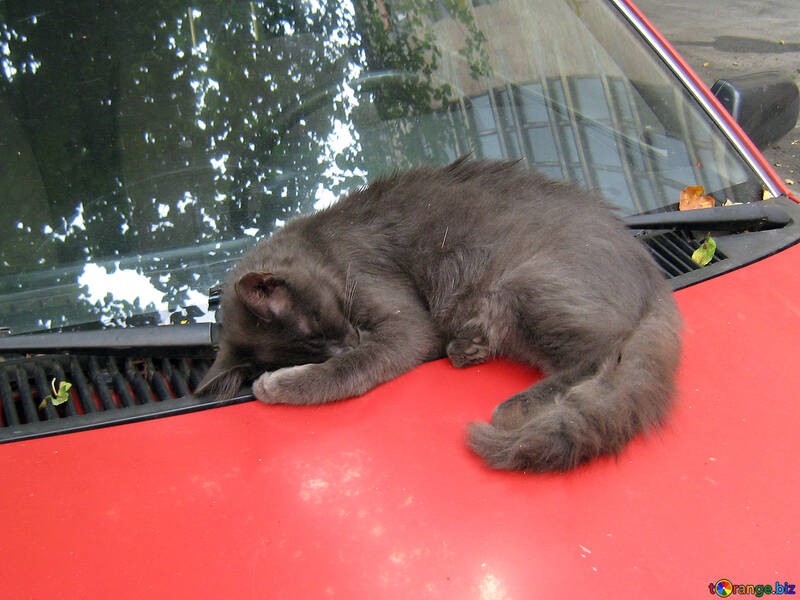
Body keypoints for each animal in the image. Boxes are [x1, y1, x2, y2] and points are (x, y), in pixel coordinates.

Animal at [200, 159, 680, 474]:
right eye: (313, 342)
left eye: (319, 325)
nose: (349, 341)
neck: (320, 249)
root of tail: (654, 278)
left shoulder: (403, 320)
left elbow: (350, 370)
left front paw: (278, 385)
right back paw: (469, 348)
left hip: (526, 284)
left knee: (603, 350)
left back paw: (515, 405)